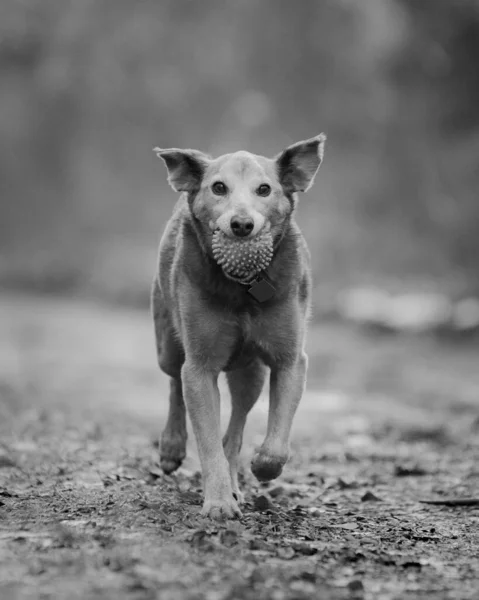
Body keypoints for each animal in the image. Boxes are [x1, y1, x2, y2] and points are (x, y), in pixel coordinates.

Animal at [152, 134, 328, 516]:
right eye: (219, 187)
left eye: (264, 189)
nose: (242, 224)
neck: (243, 287)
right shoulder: (200, 367)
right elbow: (207, 442)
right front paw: (218, 501)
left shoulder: (289, 360)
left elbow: (275, 440)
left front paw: (263, 466)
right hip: (167, 346)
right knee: (174, 382)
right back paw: (172, 446)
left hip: (251, 373)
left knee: (235, 427)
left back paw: (237, 481)